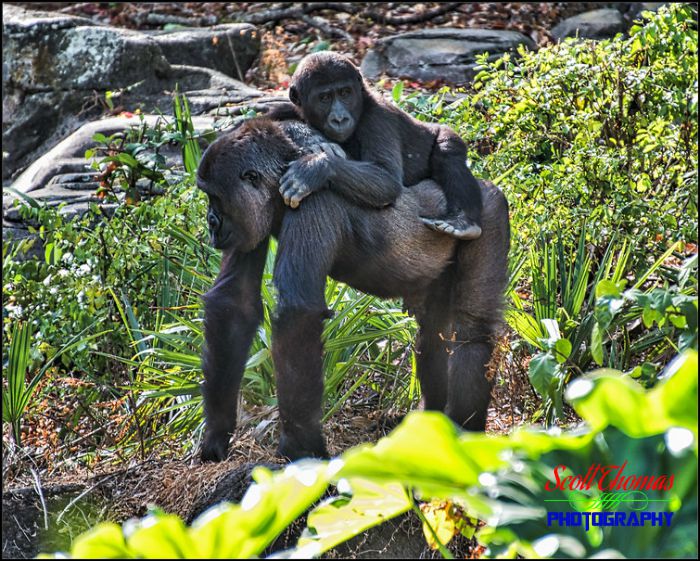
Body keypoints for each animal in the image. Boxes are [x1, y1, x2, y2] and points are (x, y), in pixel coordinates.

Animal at [197, 117, 508, 460]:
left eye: (216, 198)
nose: (211, 221)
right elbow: (233, 301)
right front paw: (216, 434)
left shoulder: (311, 199)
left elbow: (296, 312)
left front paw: (300, 446)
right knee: (433, 331)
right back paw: (431, 424)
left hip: (490, 211)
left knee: (472, 333)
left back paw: (466, 434)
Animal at [266, 49, 482, 238]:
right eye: (324, 98)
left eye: (345, 93)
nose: (339, 119)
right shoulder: (289, 105)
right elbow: (264, 119)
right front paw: (309, 136)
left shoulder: (378, 118)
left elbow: (387, 178)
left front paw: (314, 169)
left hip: (445, 132)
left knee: (448, 152)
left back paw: (463, 221)